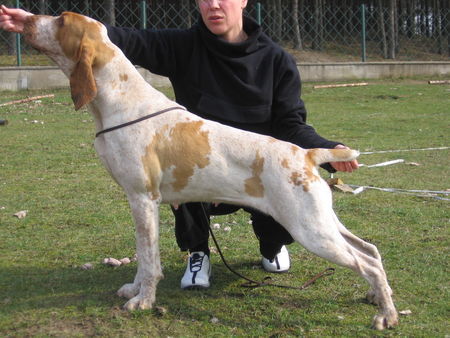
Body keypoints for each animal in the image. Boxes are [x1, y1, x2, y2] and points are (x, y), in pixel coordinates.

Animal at [22, 12, 398, 328]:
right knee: (371, 252)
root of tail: (305, 153)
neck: (120, 101)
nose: (27, 19)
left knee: (365, 262)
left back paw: (387, 316)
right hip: (324, 222)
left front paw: (143, 300)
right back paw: (376, 296)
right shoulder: (140, 202)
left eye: (60, 20)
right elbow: (142, 257)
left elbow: (149, 259)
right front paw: (134, 288)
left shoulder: (142, 199)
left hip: (311, 230)